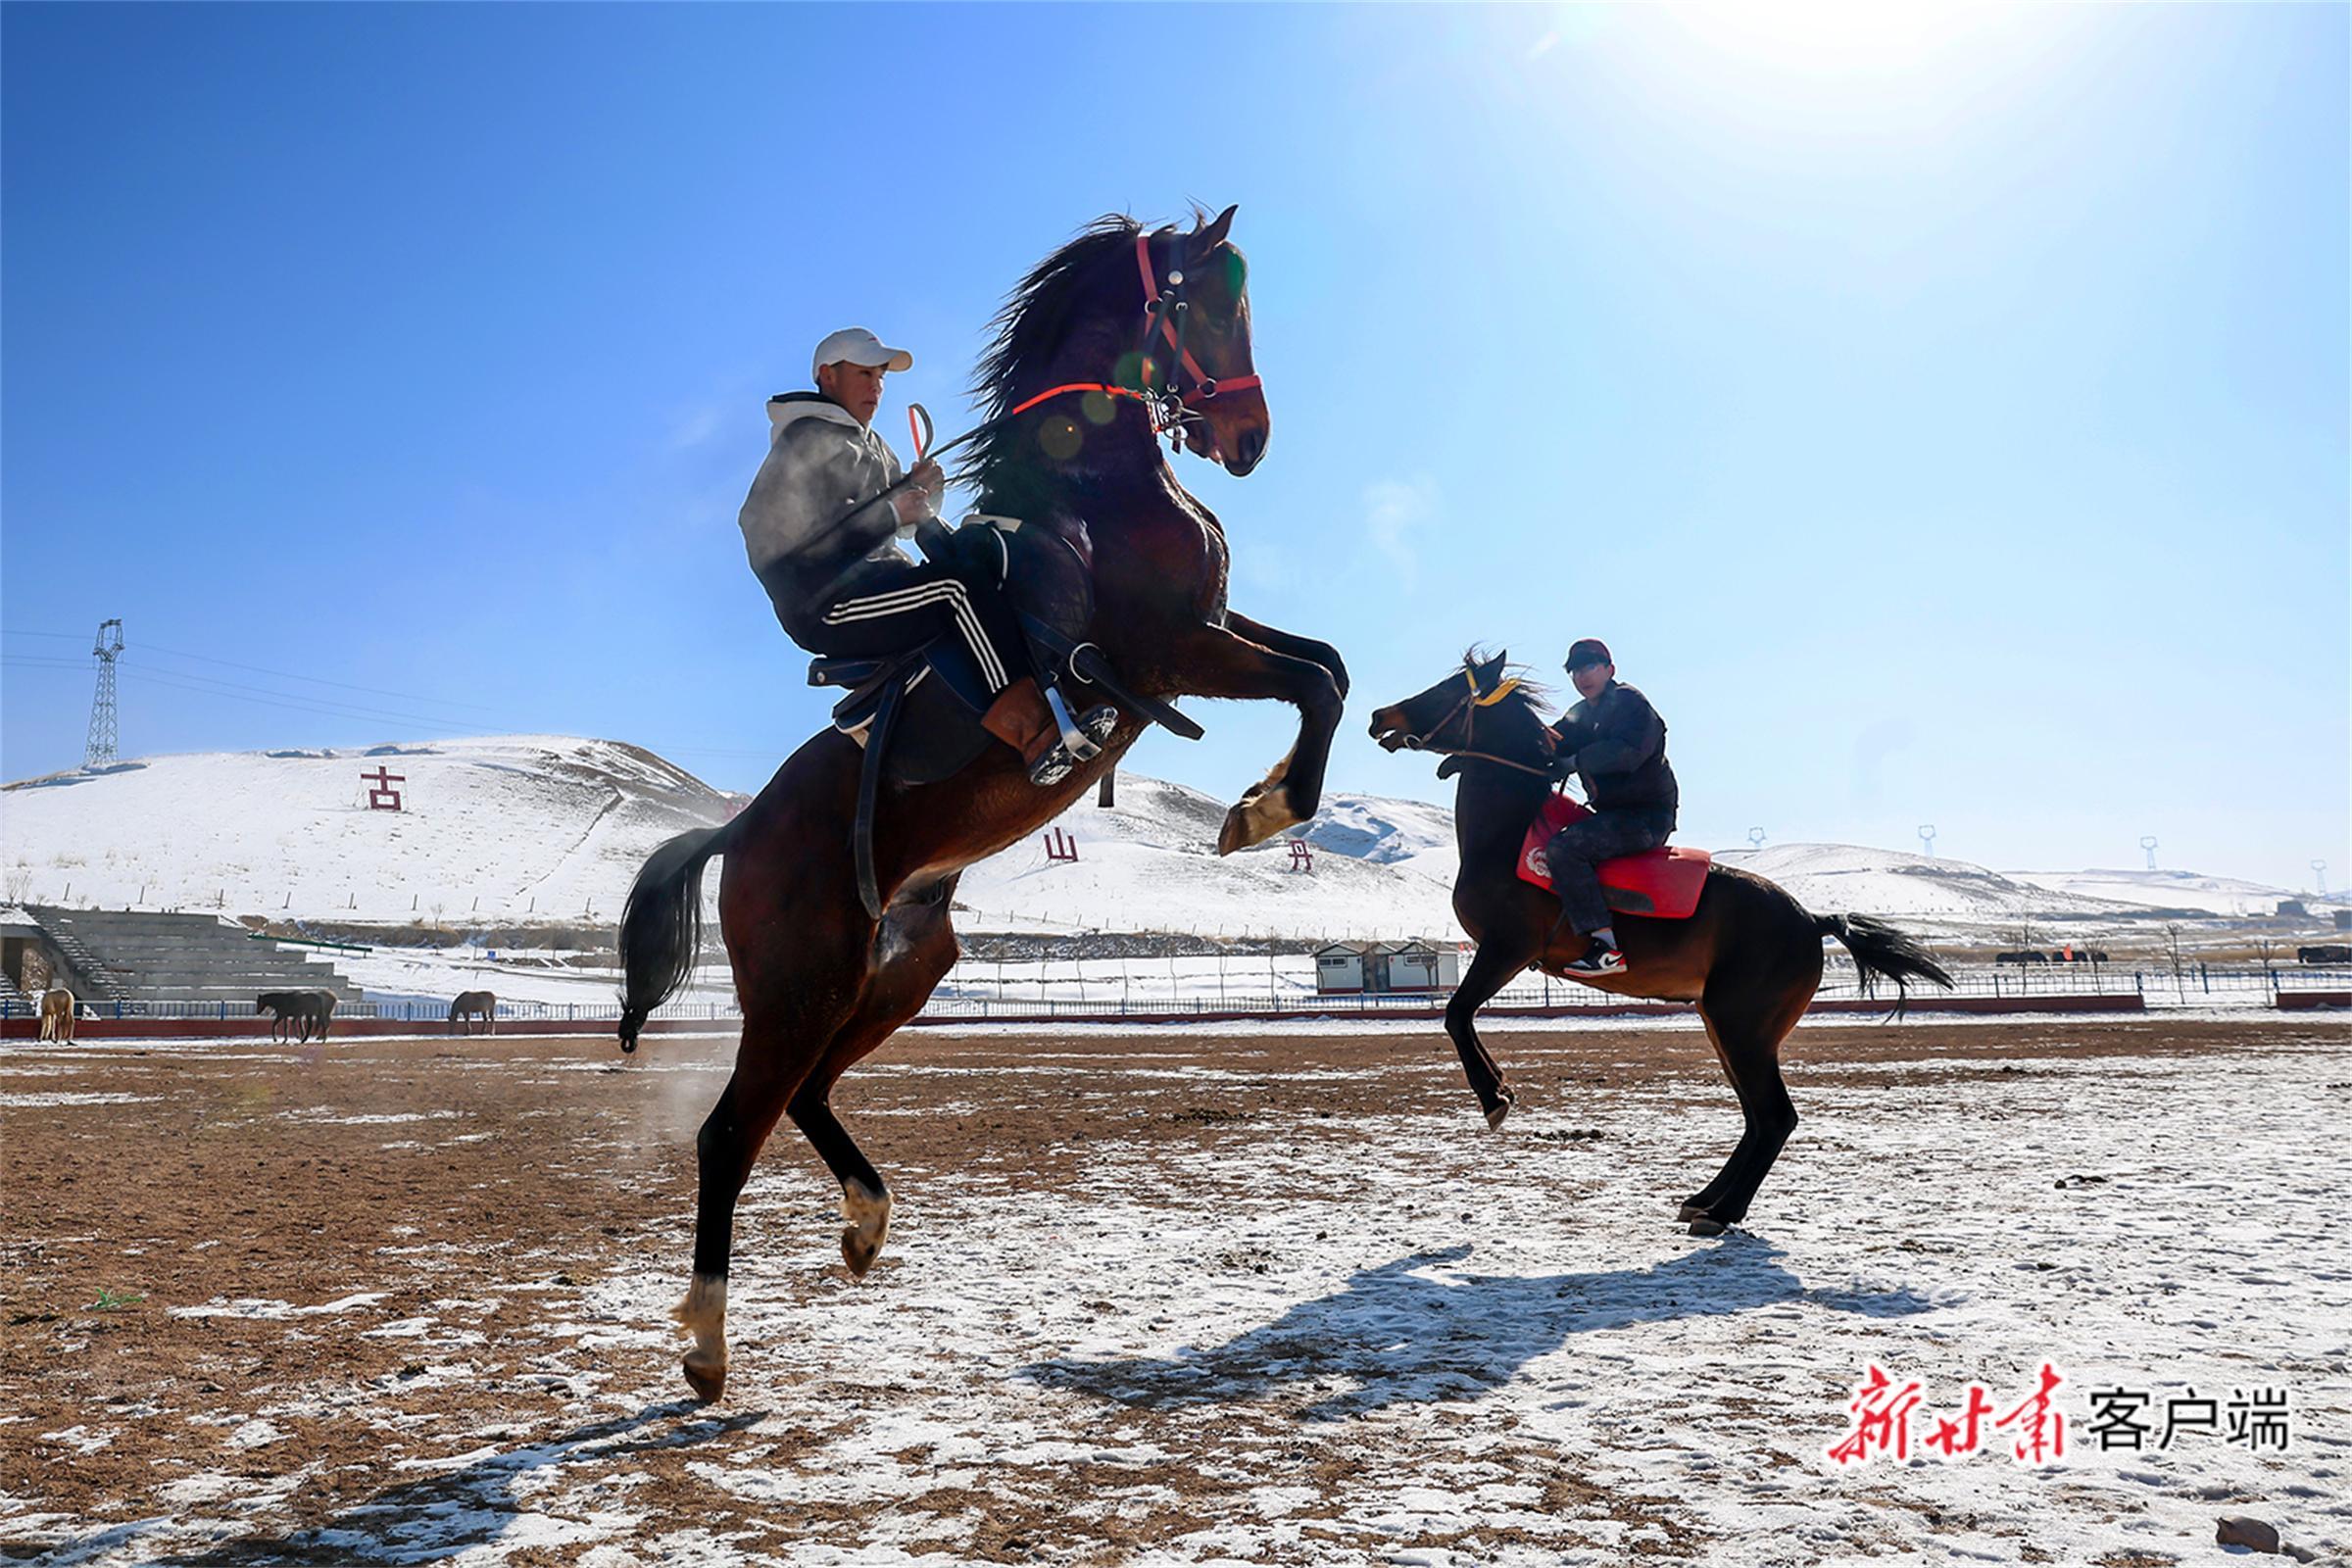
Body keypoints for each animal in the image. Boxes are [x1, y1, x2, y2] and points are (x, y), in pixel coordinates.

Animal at [617, 207, 1348, 1402]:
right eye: (1205, 302)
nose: (1249, 437)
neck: (1091, 489)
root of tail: (741, 830)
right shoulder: (1173, 649)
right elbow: (1318, 681)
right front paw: (1265, 811)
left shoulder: (1211, 631)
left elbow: (1327, 664)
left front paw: (1263, 801)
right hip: (800, 986)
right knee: (730, 1133)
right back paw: (708, 1341)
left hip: (896, 971)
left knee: (806, 1096)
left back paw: (865, 1224)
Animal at [1368, 652, 1954, 1236]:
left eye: (1446, 691)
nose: (1379, 716)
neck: (1512, 834)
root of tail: (1812, 921)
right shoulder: (1502, 953)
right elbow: (1462, 1016)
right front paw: (1502, 1087)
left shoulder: (1506, 948)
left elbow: (1456, 1014)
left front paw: (1494, 1097)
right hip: (1726, 1026)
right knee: (1758, 1118)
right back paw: (1705, 1200)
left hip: (1743, 1028)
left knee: (1774, 1116)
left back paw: (1721, 1212)